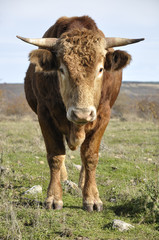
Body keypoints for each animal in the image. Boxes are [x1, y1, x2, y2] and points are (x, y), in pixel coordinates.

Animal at [17, 15, 144, 211]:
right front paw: (53, 197)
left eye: (100, 69)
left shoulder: (103, 116)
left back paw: (83, 182)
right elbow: (55, 155)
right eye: (61, 69)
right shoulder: (44, 114)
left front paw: (91, 197)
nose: (81, 114)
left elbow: (90, 156)